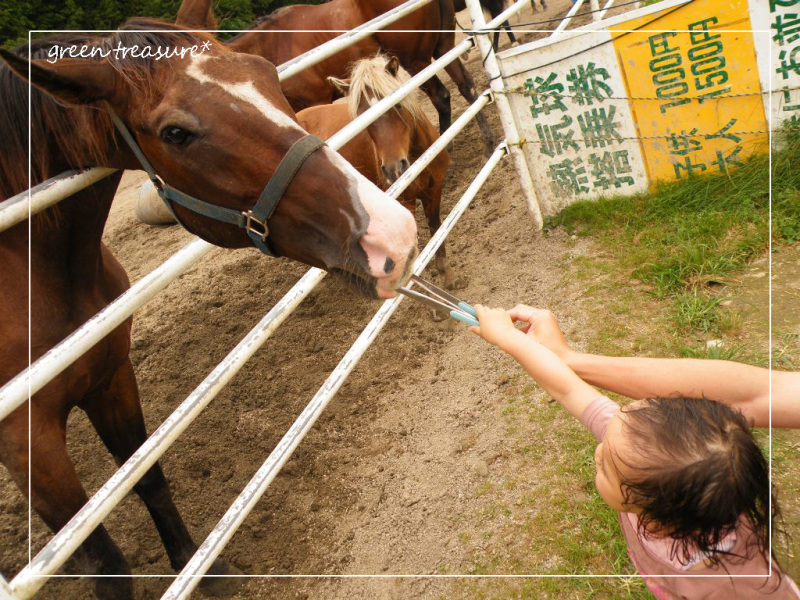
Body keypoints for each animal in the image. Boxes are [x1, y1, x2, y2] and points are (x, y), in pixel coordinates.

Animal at [0, 18, 412, 600]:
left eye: (266, 76)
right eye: (176, 133)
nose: (392, 233)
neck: (37, 270)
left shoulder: (112, 375)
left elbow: (146, 475)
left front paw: (198, 564)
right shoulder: (27, 443)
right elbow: (103, 562)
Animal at [178, 0, 496, 157]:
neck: (271, 44)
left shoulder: (313, 99)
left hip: (415, 60)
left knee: (441, 96)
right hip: (442, 47)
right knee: (466, 87)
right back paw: (486, 142)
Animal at [298, 55, 462, 290]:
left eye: (398, 104)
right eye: (361, 117)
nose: (394, 169)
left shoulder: (434, 192)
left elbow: (436, 229)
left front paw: (447, 277)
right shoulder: (404, 204)